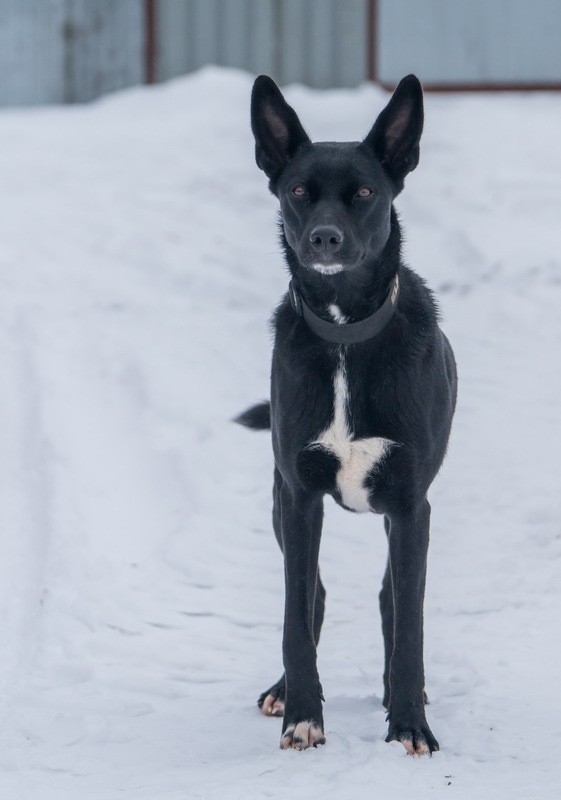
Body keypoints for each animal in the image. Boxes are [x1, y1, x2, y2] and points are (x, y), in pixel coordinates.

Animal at [236, 75, 456, 756]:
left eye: (363, 192)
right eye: (298, 193)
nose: (325, 239)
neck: (343, 336)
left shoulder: (411, 507)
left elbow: (409, 623)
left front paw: (409, 723)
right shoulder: (297, 495)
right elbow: (295, 612)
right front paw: (303, 714)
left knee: (390, 599)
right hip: (280, 505)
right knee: (312, 594)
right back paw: (284, 689)